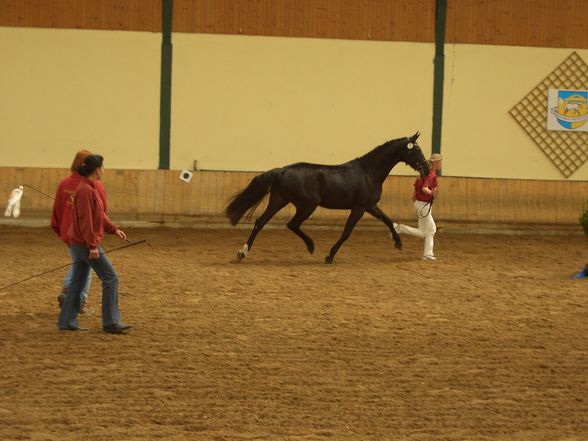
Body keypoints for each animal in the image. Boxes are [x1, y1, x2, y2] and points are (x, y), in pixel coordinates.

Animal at [224, 131, 428, 262]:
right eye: (416, 150)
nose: (426, 169)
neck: (369, 171)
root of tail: (282, 171)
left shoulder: (370, 206)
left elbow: (387, 220)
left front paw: (398, 242)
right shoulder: (359, 208)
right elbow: (347, 232)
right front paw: (330, 255)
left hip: (279, 200)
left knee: (260, 222)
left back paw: (242, 252)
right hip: (307, 205)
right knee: (292, 224)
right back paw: (311, 246)